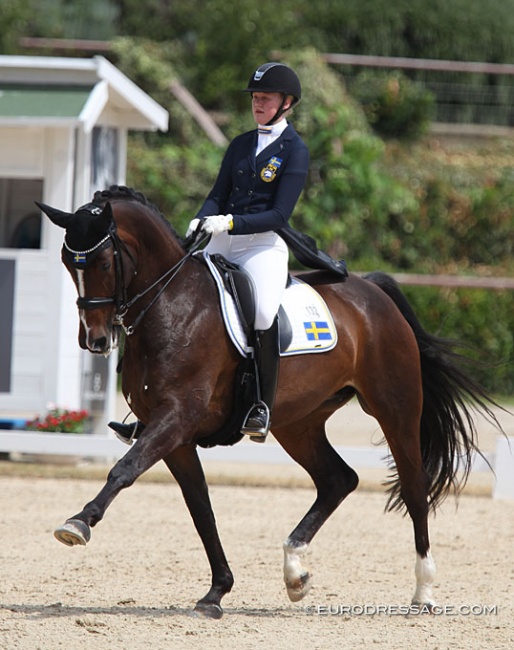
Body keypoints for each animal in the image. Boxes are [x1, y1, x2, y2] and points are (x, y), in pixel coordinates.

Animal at [40, 185, 500, 616]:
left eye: (102, 262)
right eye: (65, 261)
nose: (95, 340)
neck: (172, 306)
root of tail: (372, 289)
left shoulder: (176, 417)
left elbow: (124, 469)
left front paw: (78, 524)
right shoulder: (174, 434)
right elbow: (200, 508)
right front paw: (216, 592)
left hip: (396, 410)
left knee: (413, 486)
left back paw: (423, 591)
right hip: (298, 423)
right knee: (338, 479)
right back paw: (295, 572)